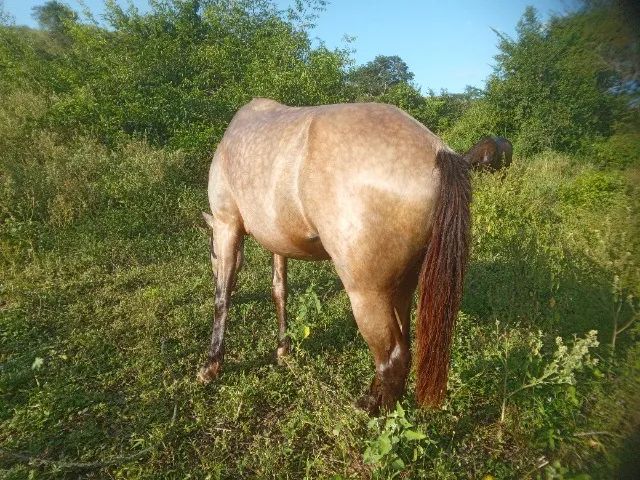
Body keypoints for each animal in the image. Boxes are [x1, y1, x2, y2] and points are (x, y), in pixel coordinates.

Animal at [197, 98, 471, 414]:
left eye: (213, 253)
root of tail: (438, 151)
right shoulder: (278, 242)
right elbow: (279, 290)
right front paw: (283, 349)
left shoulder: (227, 225)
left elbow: (222, 298)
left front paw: (212, 365)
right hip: (403, 286)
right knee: (402, 344)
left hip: (367, 296)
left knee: (392, 357)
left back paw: (375, 409)